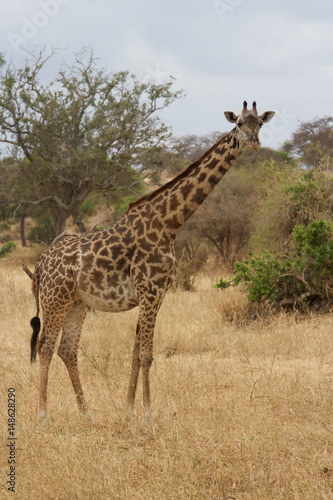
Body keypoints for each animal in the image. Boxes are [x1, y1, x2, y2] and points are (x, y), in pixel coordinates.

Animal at [29, 100, 272, 422]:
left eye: (260, 123)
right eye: (240, 124)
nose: (255, 143)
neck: (170, 223)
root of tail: (41, 263)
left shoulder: (157, 294)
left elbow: (135, 352)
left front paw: (129, 410)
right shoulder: (150, 290)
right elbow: (147, 354)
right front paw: (148, 414)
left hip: (76, 303)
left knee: (67, 350)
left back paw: (87, 413)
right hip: (54, 299)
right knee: (45, 345)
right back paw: (43, 414)